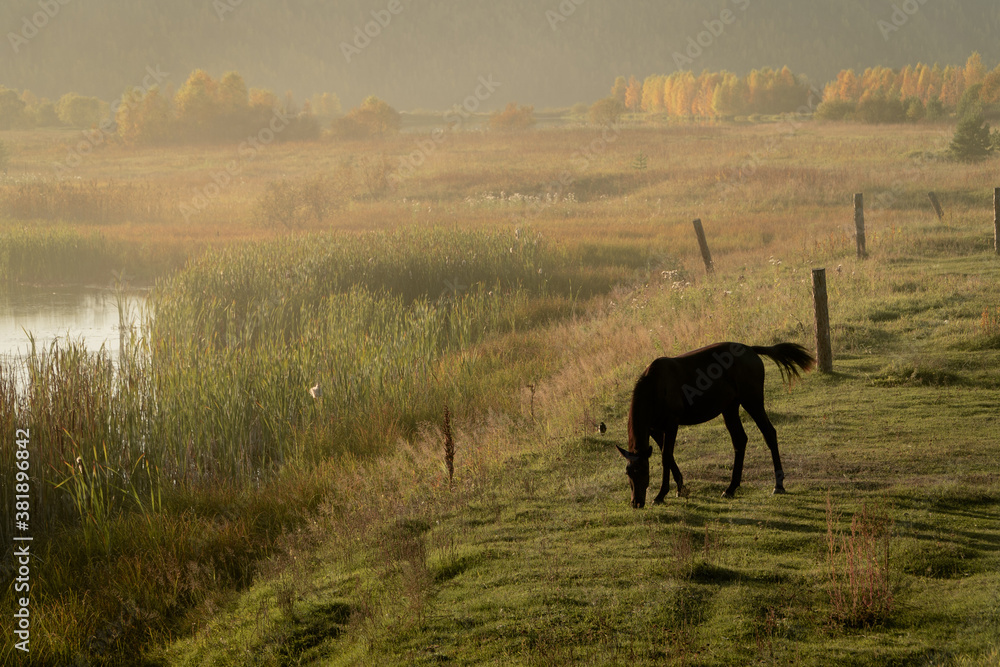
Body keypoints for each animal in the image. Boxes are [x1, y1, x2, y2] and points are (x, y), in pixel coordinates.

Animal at [616, 342, 814, 508]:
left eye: (644, 471)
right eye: (628, 473)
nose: (636, 502)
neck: (655, 386)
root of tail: (751, 349)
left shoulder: (671, 425)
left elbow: (666, 456)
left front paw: (661, 495)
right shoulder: (655, 429)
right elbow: (669, 456)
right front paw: (681, 488)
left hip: (752, 401)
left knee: (769, 433)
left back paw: (778, 485)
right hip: (730, 407)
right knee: (740, 440)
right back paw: (731, 488)